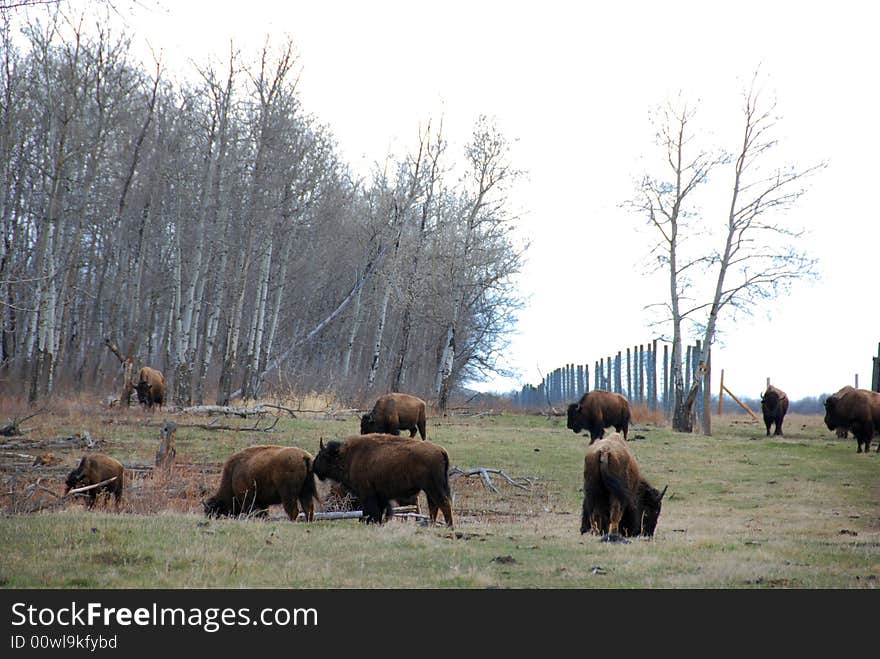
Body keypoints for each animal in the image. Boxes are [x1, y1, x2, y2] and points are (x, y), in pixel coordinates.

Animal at [312, 436, 454, 528]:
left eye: (322, 455)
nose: (314, 466)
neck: (348, 456)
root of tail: (441, 450)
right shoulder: (380, 495)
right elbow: (383, 511)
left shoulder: (367, 493)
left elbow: (372, 511)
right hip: (429, 490)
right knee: (434, 506)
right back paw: (433, 525)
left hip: (433, 487)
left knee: (444, 503)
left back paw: (449, 526)